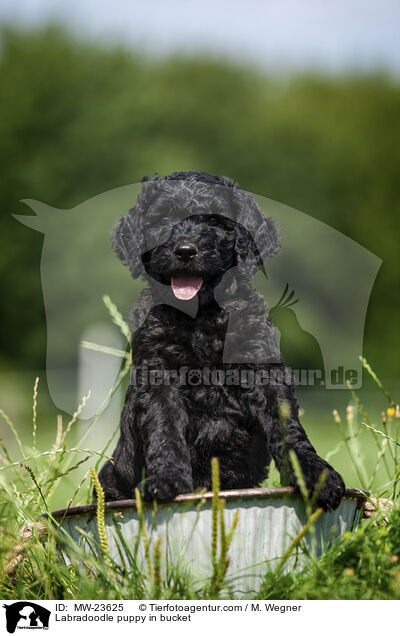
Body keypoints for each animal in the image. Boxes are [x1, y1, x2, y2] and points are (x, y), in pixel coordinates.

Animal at [98, 171, 346, 510]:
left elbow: (288, 428)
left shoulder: (262, 366)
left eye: (214, 222)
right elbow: (165, 426)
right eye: (163, 219)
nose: (185, 250)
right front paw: (166, 479)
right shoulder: (157, 372)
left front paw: (315, 474)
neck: (200, 315)